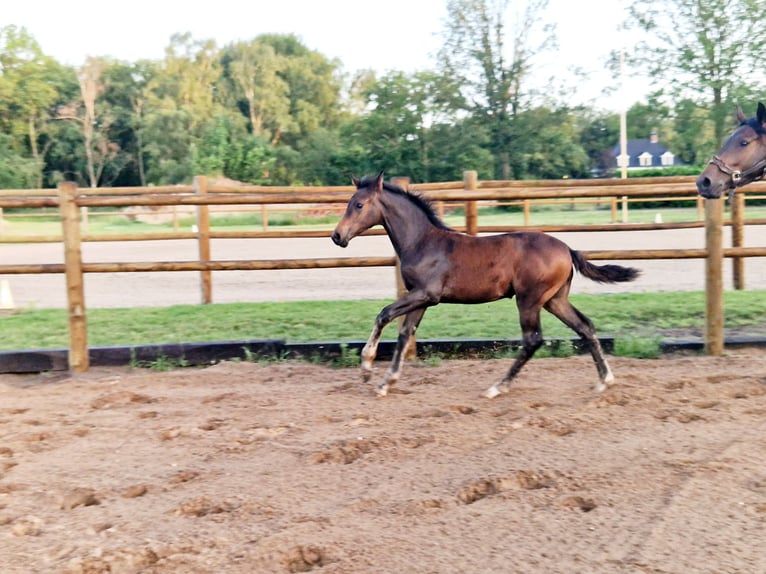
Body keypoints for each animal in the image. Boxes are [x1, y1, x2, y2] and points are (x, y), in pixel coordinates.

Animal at [332, 173, 640, 400]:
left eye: (358, 205)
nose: (337, 236)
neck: (423, 242)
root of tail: (567, 249)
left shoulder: (426, 294)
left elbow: (384, 314)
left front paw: (367, 368)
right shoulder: (420, 298)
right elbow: (405, 333)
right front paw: (387, 383)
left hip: (529, 299)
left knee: (533, 339)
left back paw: (497, 387)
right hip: (554, 300)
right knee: (585, 326)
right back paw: (604, 381)